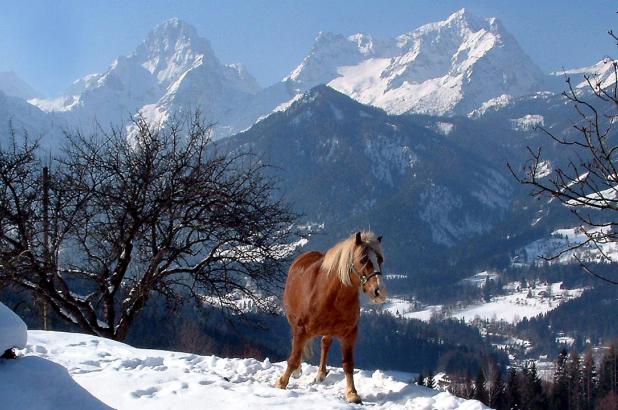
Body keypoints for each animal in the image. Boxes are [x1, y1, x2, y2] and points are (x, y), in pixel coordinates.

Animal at [274, 231, 384, 404]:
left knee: (325, 343)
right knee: (297, 346)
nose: (378, 291)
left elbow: (348, 364)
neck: (328, 294)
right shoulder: (301, 329)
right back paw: (298, 371)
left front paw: (352, 393)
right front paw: (282, 383)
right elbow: (294, 357)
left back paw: (321, 373)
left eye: (380, 259)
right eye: (363, 260)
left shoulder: (350, 334)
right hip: (294, 322)